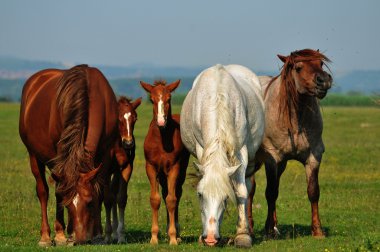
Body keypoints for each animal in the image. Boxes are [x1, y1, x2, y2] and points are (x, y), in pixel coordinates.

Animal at [17, 64, 118, 246]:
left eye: (89, 203)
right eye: (68, 205)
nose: (80, 239)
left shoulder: (105, 154)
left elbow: (100, 191)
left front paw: (98, 234)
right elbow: (59, 193)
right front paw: (63, 234)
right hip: (34, 155)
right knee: (44, 191)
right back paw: (49, 236)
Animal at [103, 95, 142, 243]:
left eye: (135, 118)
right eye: (118, 119)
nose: (129, 143)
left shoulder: (126, 168)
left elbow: (120, 198)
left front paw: (121, 235)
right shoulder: (104, 171)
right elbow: (107, 199)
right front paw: (107, 235)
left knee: (114, 191)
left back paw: (115, 232)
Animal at [140, 79, 190, 245]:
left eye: (169, 99)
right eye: (151, 99)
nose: (161, 122)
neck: (162, 142)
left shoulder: (174, 168)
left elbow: (172, 200)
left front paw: (173, 237)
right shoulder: (151, 168)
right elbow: (155, 199)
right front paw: (154, 237)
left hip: (180, 171)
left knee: (176, 194)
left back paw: (176, 233)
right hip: (162, 175)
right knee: (164, 193)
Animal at [180, 64, 264, 247]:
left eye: (226, 198)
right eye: (200, 195)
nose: (211, 239)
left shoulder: (241, 152)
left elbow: (241, 192)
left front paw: (243, 235)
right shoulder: (201, 148)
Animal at [246, 48, 332, 238]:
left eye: (321, 63)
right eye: (298, 68)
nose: (324, 81)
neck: (294, 119)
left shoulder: (313, 156)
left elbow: (313, 191)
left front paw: (318, 230)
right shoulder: (272, 159)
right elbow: (270, 193)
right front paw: (268, 230)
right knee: (250, 189)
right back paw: (250, 226)